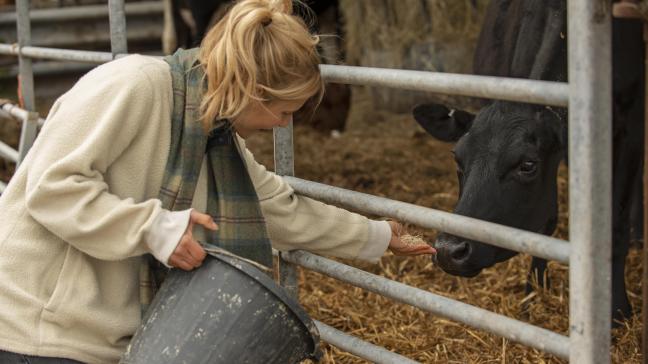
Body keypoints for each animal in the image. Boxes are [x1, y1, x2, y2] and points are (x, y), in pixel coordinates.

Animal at [412, 0, 644, 324]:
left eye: (527, 165)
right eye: (457, 159)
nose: (448, 249)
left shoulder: (630, 127)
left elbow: (616, 225)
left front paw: (618, 309)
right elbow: (547, 219)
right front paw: (535, 289)